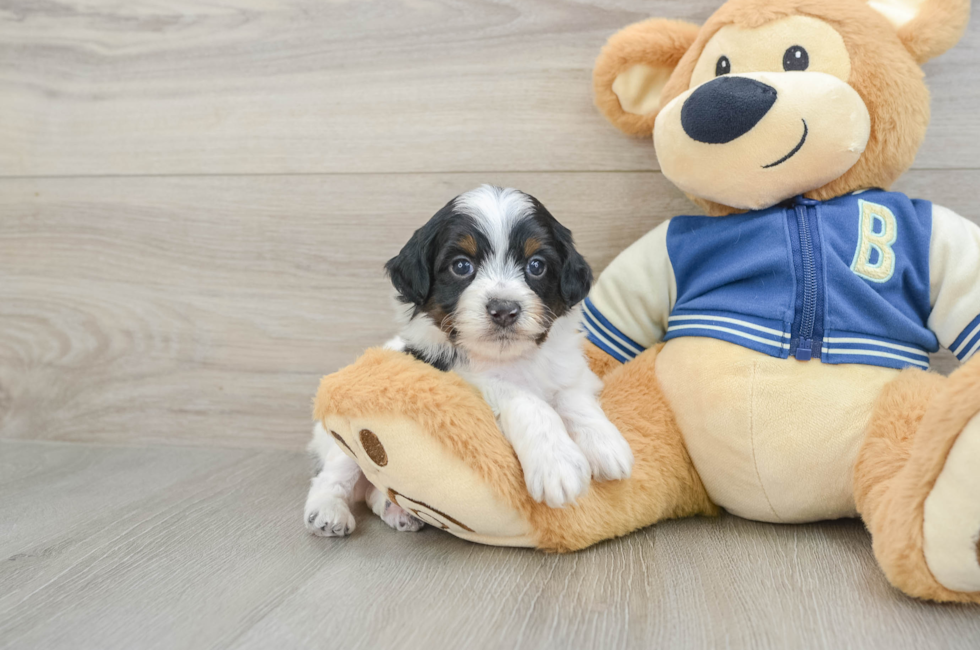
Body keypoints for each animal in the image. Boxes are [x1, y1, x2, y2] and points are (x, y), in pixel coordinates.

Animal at [302, 185, 632, 536]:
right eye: (461, 266)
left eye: (536, 265)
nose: (504, 309)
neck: (510, 358)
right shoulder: (462, 379)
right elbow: (528, 401)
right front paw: (556, 461)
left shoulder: (569, 370)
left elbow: (573, 398)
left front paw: (605, 444)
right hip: (344, 441)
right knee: (334, 475)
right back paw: (328, 512)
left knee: (374, 491)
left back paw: (398, 510)